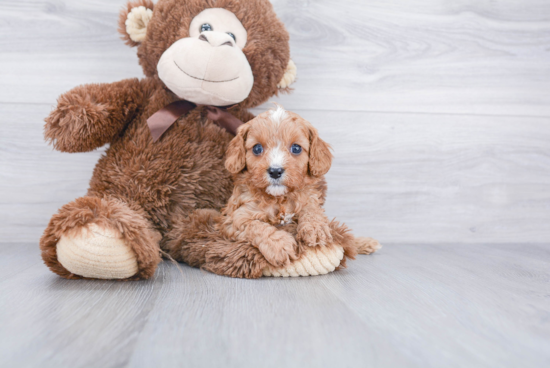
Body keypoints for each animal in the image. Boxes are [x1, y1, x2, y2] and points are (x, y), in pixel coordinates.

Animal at [222, 105, 378, 266]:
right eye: (257, 148)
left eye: (296, 148)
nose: (275, 171)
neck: (281, 198)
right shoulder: (234, 219)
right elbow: (256, 226)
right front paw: (280, 245)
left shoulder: (308, 198)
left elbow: (311, 208)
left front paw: (316, 228)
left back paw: (365, 242)